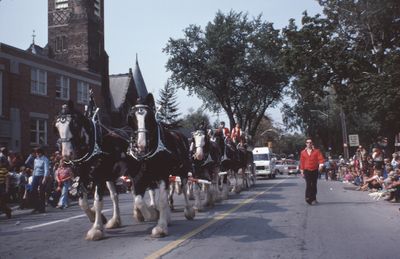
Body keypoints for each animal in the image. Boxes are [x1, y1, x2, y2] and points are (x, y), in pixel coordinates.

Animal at [54, 100, 130, 241]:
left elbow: (98, 202)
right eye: (56, 126)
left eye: (74, 124)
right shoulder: (82, 177)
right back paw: (116, 220)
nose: (67, 154)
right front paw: (96, 217)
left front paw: (96, 229)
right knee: (115, 196)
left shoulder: (99, 178)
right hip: (111, 176)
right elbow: (82, 202)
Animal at [127, 94, 195, 239]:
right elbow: (138, 200)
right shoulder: (138, 178)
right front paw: (152, 214)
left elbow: (162, 201)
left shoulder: (162, 174)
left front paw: (161, 227)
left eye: (149, 117)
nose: (141, 145)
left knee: (184, 188)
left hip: (183, 171)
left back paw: (188, 211)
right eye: (131, 117)